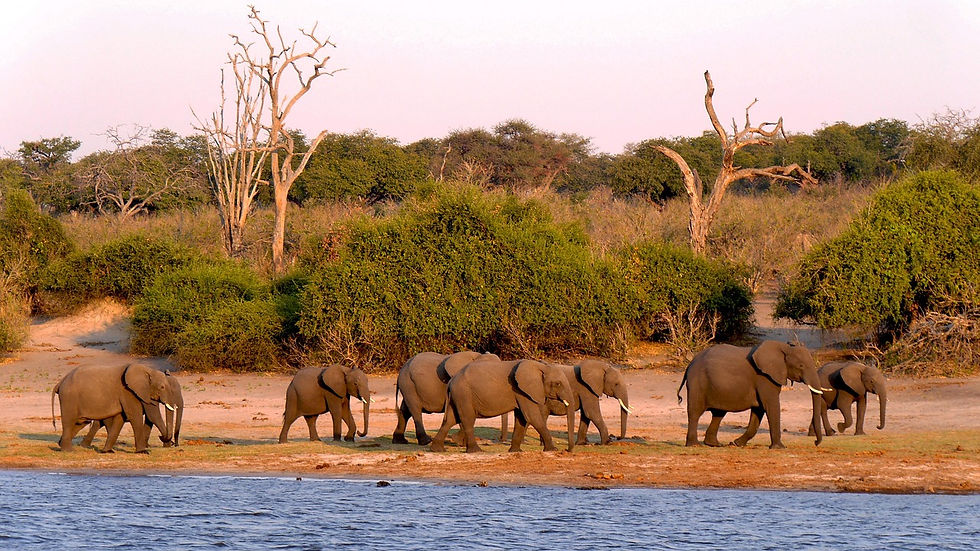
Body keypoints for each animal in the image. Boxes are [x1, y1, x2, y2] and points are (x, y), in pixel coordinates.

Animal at [429, 358, 575, 453]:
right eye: (558, 384)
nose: (567, 450)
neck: (539, 366)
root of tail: (452, 380)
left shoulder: (521, 392)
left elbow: (521, 419)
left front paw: (515, 451)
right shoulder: (522, 390)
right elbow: (532, 417)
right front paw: (552, 449)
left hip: (457, 396)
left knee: (450, 420)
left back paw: (438, 450)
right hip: (463, 394)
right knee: (467, 419)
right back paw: (476, 451)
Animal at [677, 340, 829, 449]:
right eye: (801, 366)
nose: (815, 442)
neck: (783, 347)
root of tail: (690, 364)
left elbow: (758, 410)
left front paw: (736, 444)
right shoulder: (764, 377)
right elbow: (771, 406)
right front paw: (780, 448)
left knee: (718, 414)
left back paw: (714, 444)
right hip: (698, 383)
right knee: (695, 412)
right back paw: (694, 445)